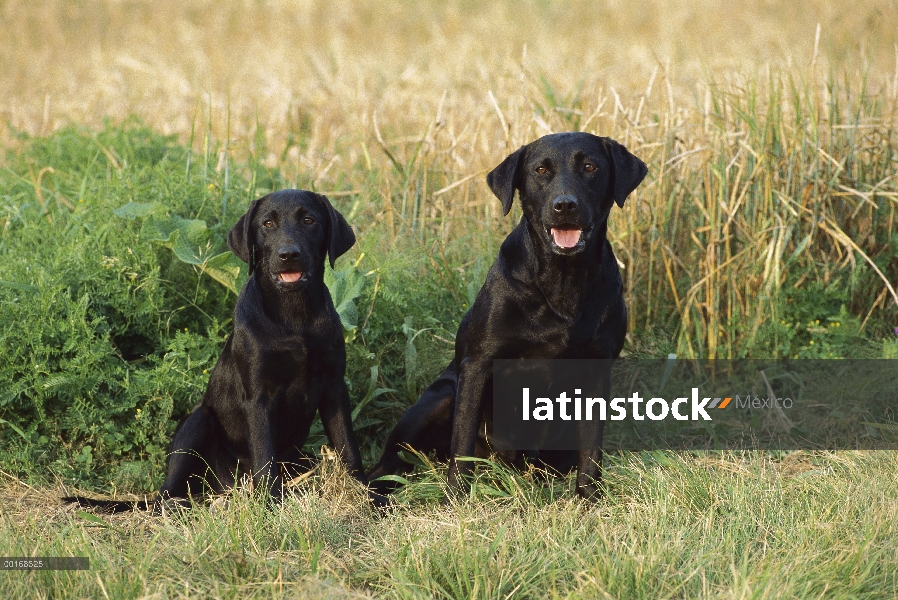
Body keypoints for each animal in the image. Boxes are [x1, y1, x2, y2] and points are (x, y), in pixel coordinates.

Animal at [66, 188, 372, 510]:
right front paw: (271, 504)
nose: (288, 254)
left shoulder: (334, 387)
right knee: (166, 495)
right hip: (196, 423)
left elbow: (348, 448)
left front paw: (367, 496)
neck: (294, 317)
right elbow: (264, 455)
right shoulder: (259, 396)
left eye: (309, 220)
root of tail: (222, 487)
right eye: (267, 224)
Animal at [368, 134, 648, 500]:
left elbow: (592, 448)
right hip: (440, 398)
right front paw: (455, 499)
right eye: (540, 170)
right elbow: (462, 443)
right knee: (389, 464)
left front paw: (589, 497)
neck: (562, 282)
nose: (565, 205)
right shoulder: (479, 364)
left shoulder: (597, 371)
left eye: (590, 167)